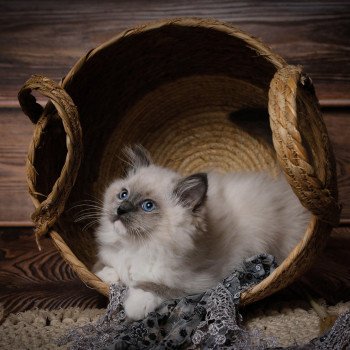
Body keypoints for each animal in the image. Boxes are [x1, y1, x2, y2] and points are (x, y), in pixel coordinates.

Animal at [93, 144, 308, 320]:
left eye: (148, 206)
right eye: (123, 195)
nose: (121, 210)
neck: (139, 245)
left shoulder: (199, 283)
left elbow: (155, 286)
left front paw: (134, 306)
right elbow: (106, 266)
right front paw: (108, 275)